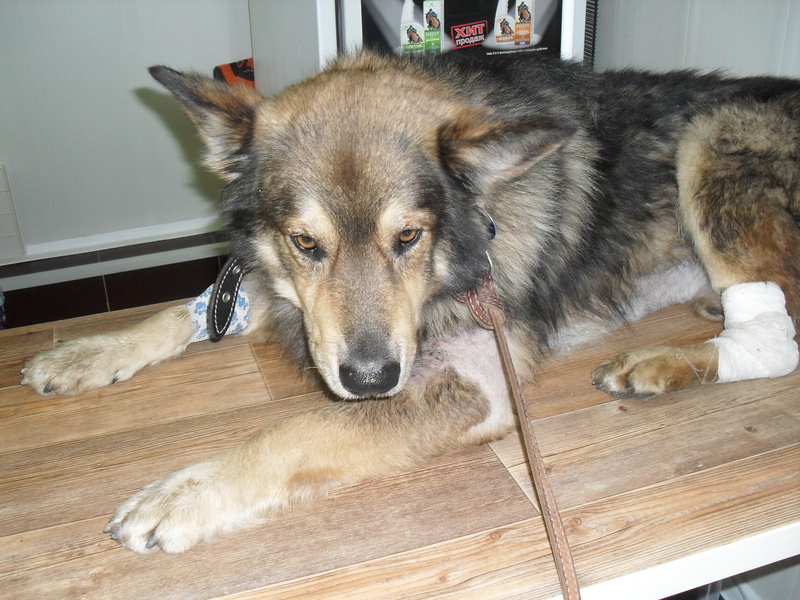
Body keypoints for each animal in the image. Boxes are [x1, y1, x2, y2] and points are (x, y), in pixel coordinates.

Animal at [22, 50, 800, 554]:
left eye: (408, 237)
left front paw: (185, 494)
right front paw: (88, 353)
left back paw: (661, 361)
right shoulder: (289, 299)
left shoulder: (479, 378)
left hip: (711, 138)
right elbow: (182, 311)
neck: (469, 234)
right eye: (306, 243)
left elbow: (304, 429)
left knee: (779, 337)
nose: (372, 380)